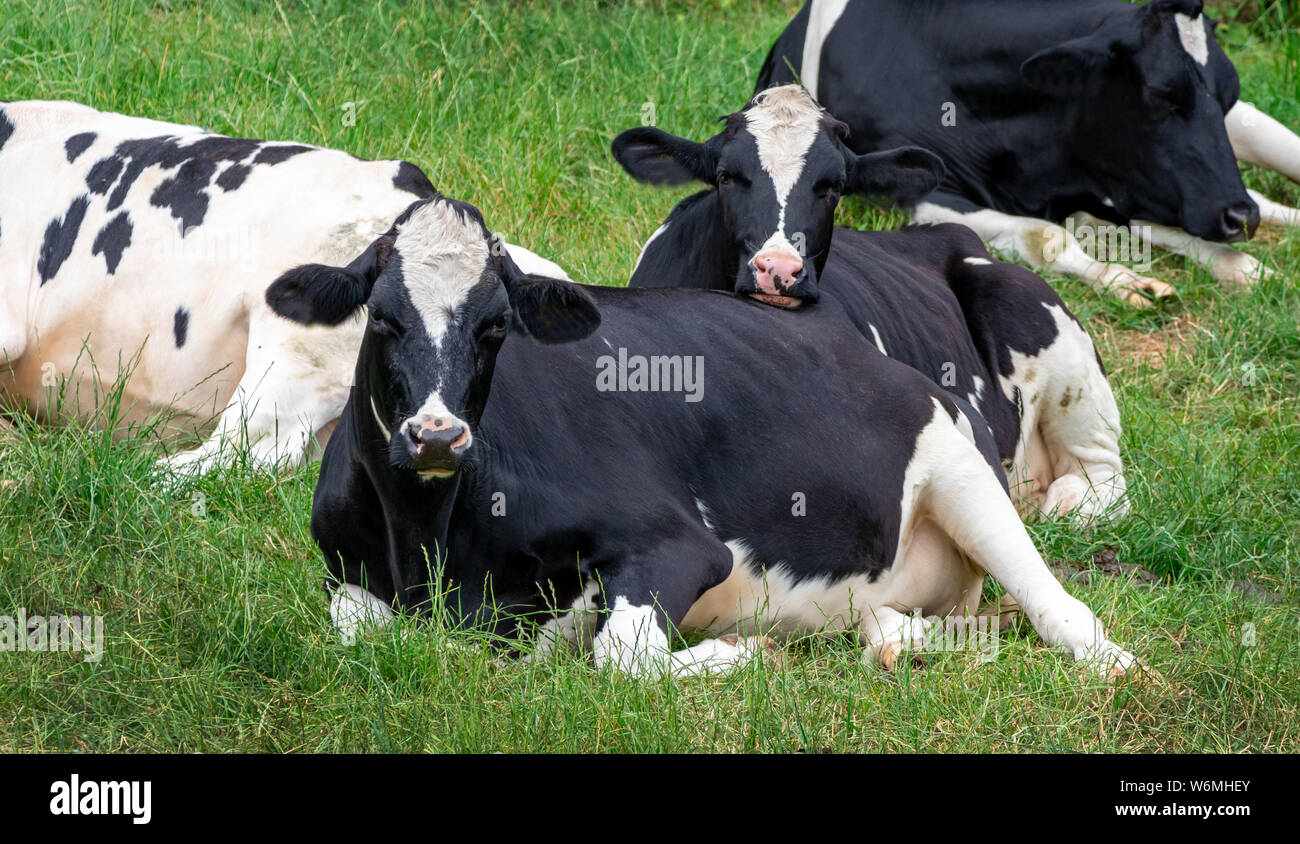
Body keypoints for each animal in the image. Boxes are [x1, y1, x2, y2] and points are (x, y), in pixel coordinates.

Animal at [264, 194, 1141, 679]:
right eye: (382, 317)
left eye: (495, 326)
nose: (438, 436)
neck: (433, 542)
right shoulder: (347, 575)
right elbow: (360, 638)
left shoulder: (675, 543)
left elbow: (621, 658)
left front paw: (740, 655)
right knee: (922, 619)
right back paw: (893, 640)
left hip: (969, 459)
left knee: (1060, 600)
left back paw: (1112, 656)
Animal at [613, 85, 1128, 522]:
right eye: (725, 176)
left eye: (834, 185)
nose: (778, 269)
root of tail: (951, 237)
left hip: (1052, 343)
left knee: (1101, 478)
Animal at [757, 0, 1300, 304]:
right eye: (1162, 95)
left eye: (1226, 92)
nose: (1239, 219)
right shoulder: (912, 191)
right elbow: (1049, 236)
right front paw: (1123, 280)